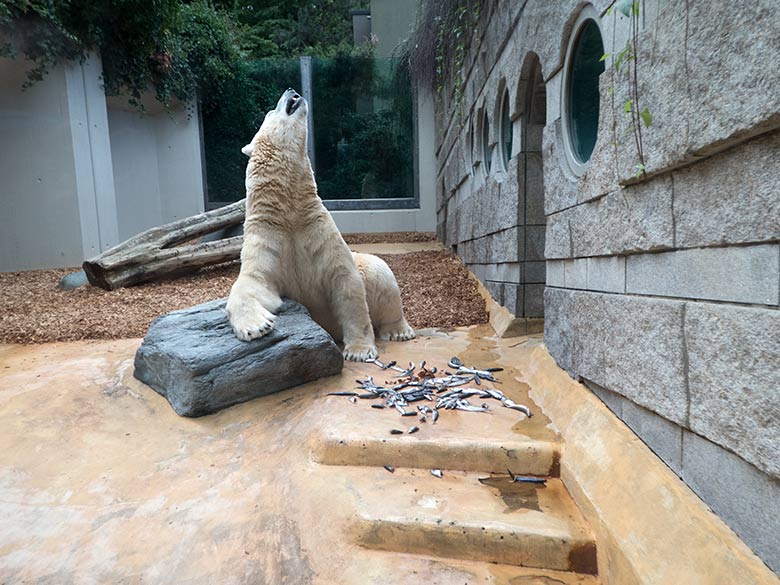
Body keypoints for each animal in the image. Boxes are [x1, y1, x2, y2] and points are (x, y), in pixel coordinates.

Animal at [225, 88, 414, 360]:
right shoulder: (267, 236)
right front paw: (257, 327)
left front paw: (358, 351)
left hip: (370, 267)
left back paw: (399, 330)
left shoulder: (318, 230)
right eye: (270, 112)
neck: (289, 212)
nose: (292, 90)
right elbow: (252, 282)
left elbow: (347, 284)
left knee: (381, 274)